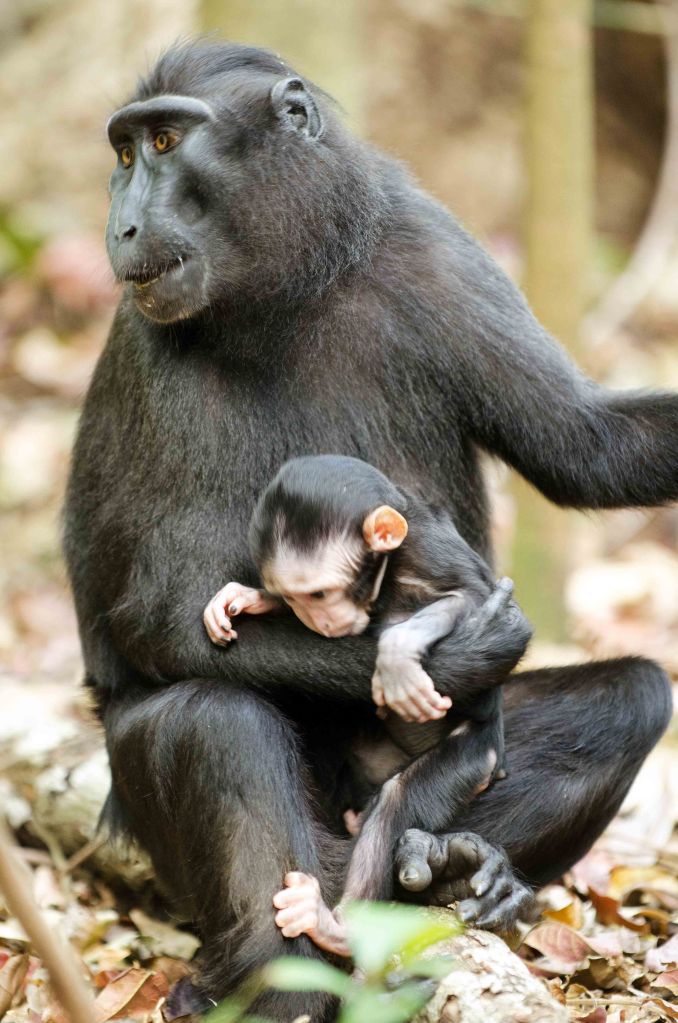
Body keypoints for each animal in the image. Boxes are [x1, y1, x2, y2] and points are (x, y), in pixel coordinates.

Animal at [64, 41, 676, 1020]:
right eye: (125, 151)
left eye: (162, 142)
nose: (121, 224)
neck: (290, 289)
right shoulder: (155, 346)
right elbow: (165, 617)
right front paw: (462, 649)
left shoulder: (433, 248)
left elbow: (587, 444)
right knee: (209, 718)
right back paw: (283, 966)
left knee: (628, 698)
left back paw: (451, 870)